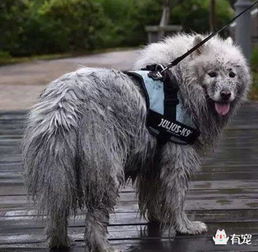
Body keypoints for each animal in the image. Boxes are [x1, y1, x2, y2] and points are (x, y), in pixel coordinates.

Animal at [23, 34, 250, 251]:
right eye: (212, 74)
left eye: (232, 74)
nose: (226, 95)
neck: (179, 84)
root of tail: (63, 103)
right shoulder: (177, 155)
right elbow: (176, 197)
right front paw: (184, 226)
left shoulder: (153, 159)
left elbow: (152, 194)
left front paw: (158, 217)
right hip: (105, 167)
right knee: (95, 215)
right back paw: (103, 246)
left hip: (60, 169)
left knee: (57, 212)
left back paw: (60, 241)